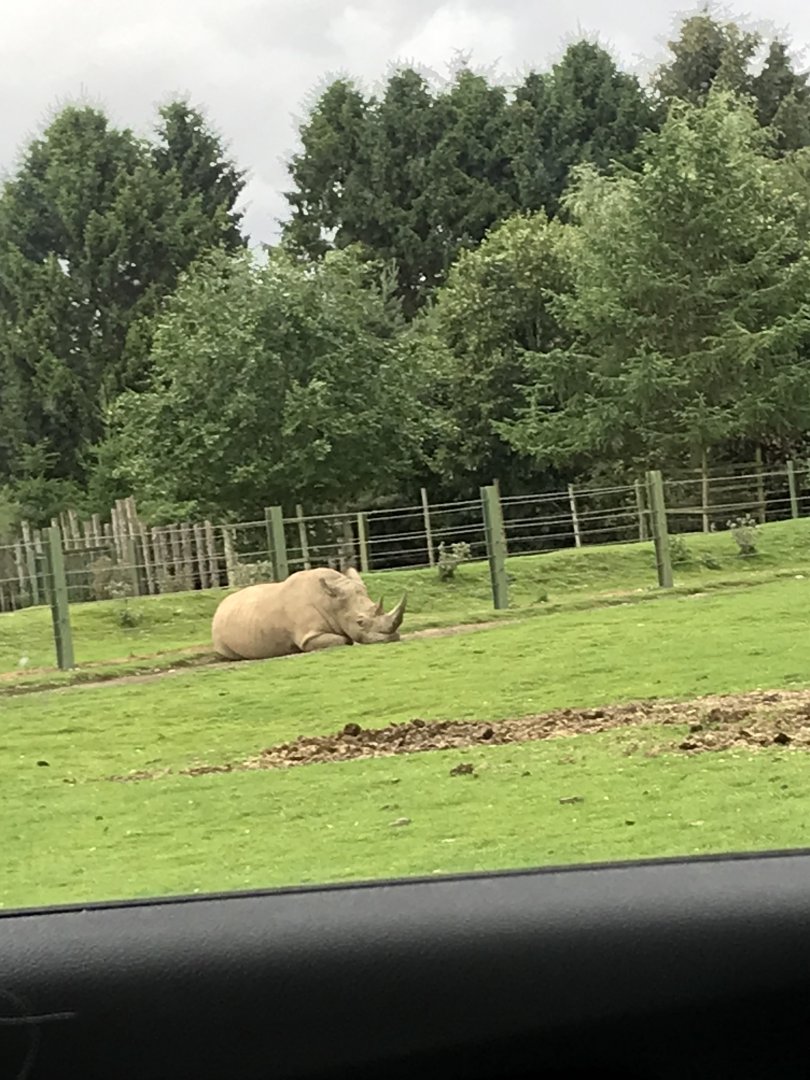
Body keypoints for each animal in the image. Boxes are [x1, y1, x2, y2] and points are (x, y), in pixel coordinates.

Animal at [211, 566, 407, 661]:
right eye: (360, 622)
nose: (391, 637)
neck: (331, 602)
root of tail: (219, 607)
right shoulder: (309, 635)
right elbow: (342, 639)